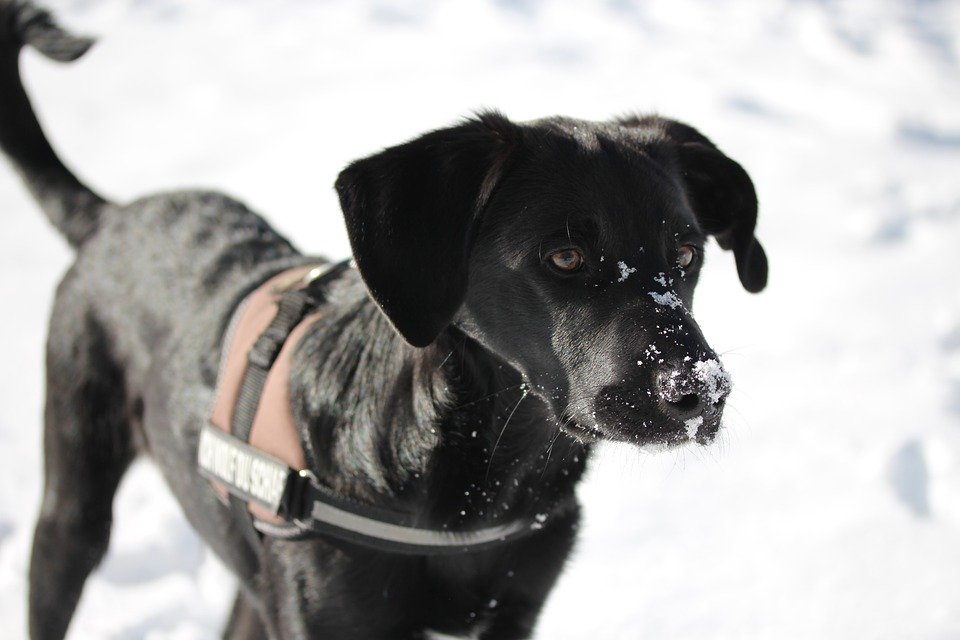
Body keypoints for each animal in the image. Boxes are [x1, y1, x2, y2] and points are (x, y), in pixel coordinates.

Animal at [0, 2, 764, 636]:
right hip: (71, 508)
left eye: (687, 253)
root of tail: (108, 216)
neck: (482, 474)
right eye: (566, 255)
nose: (700, 393)